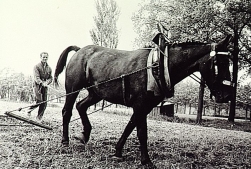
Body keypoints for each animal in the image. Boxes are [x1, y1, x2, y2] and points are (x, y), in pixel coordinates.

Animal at [54, 33, 234, 167]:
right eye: (219, 62)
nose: (226, 95)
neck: (158, 66)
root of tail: (80, 50)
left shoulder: (144, 107)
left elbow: (130, 127)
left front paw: (118, 151)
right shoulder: (140, 105)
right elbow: (141, 132)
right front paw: (146, 160)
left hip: (96, 93)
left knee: (81, 106)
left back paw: (84, 135)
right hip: (72, 89)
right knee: (67, 111)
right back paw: (65, 140)